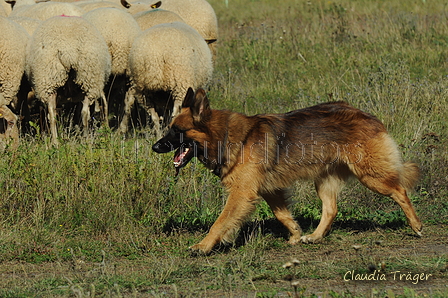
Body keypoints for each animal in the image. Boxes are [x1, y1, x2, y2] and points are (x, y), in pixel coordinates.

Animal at [26, 15, 111, 146]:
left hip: (51, 80)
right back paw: (86, 140)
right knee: (85, 113)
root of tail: (68, 50)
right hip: (89, 81)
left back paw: (56, 142)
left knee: (52, 114)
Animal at [152, 87, 422, 255]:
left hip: (371, 176)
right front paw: (295, 234)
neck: (225, 137)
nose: (154, 147)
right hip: (324, 181)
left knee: (400, 191)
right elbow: (282, 215)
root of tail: (366, 115)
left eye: (177, 131)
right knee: (331, 209)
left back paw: (416, 225)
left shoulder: (242, 193)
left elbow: (219, 223)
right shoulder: (269, 190)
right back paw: (315, 236)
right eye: (170, 128)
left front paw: (203, 246)